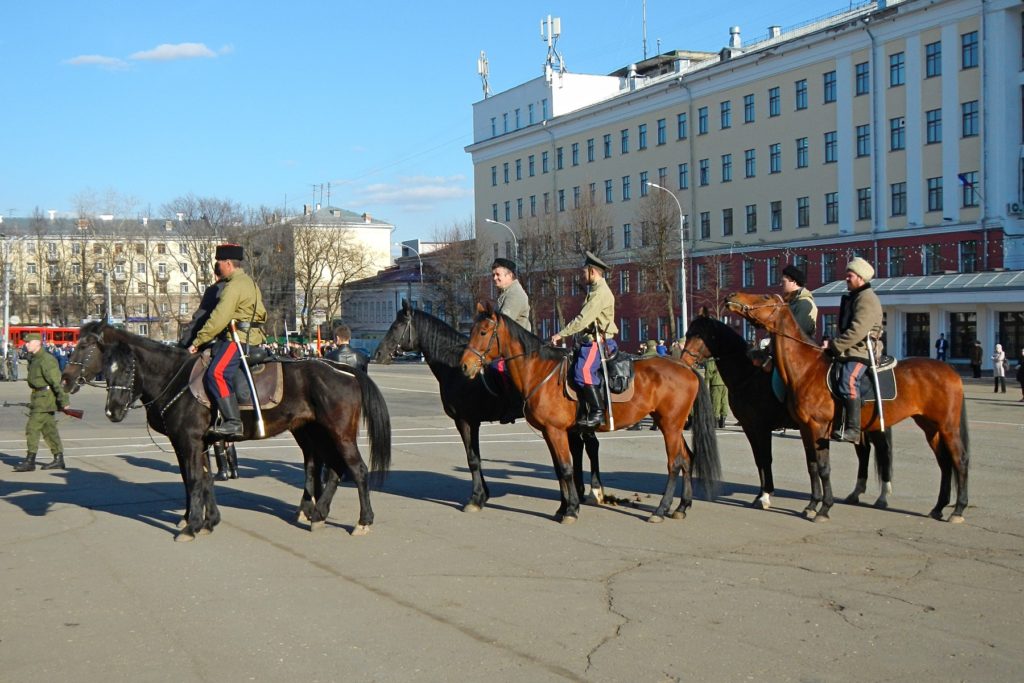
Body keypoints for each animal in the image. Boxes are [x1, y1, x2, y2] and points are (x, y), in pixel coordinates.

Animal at [59, 323, 389, 540]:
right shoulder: (195, 442)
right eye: (107, 367)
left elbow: (194, 479)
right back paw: (317, 513)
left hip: (338, 433)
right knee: (330, 468)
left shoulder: (189, 440)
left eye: (85, 347)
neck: (174, 378)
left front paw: (192, 525)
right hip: (314, 432)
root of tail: (343, 369)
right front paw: (207, 520)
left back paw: (363, 520)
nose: (65, 379)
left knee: (356, 470)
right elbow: (202, 479)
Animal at [372, 301, 602, 509]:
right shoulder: (471, 422)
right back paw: (582, 491)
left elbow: (473, 459)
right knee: (580, 447)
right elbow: (475, 457)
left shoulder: (465, 420)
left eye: (397, 326)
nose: (377, 354)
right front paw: (483, 494)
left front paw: (476, 497)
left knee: (590, 446)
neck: (454, 368)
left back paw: (593, 491)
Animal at [460, 303, 724, 524]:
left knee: (674, 463)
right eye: (471, 330)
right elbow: (559, 469)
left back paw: (661, 509)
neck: (540, 371)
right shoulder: (550, 433)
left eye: (483, 332)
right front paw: (563, 507)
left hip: (670, 425)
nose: (465, 365)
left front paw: (571, 510)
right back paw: (682, 506)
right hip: (671, 424)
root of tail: (686, 366)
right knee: (687, 459)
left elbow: (566, 468)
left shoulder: (557, 431)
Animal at [684, 313, 892, 507]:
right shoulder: (749, 427)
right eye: (688, 333)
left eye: (700, 335)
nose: (684, 360)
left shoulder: (761, 427)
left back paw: (883, 496)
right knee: (864, 452)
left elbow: (766, 458)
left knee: (883, 452)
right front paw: (761, 493)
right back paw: (857, 494)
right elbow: (759, 460)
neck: (749, 374)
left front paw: (766, 495)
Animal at [724, 294, 970, 524]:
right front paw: (811, 505)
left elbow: (822, 467)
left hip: (946, 427)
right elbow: (812, 466)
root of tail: (951, 371)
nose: (731, 297)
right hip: (930, 427)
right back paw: (938, 507)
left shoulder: (815, 428)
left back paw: (957, 510)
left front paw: (824, 508)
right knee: (944, 463)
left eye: (765, 297)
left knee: (959, 460)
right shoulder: (804, 429)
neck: (806, 369)